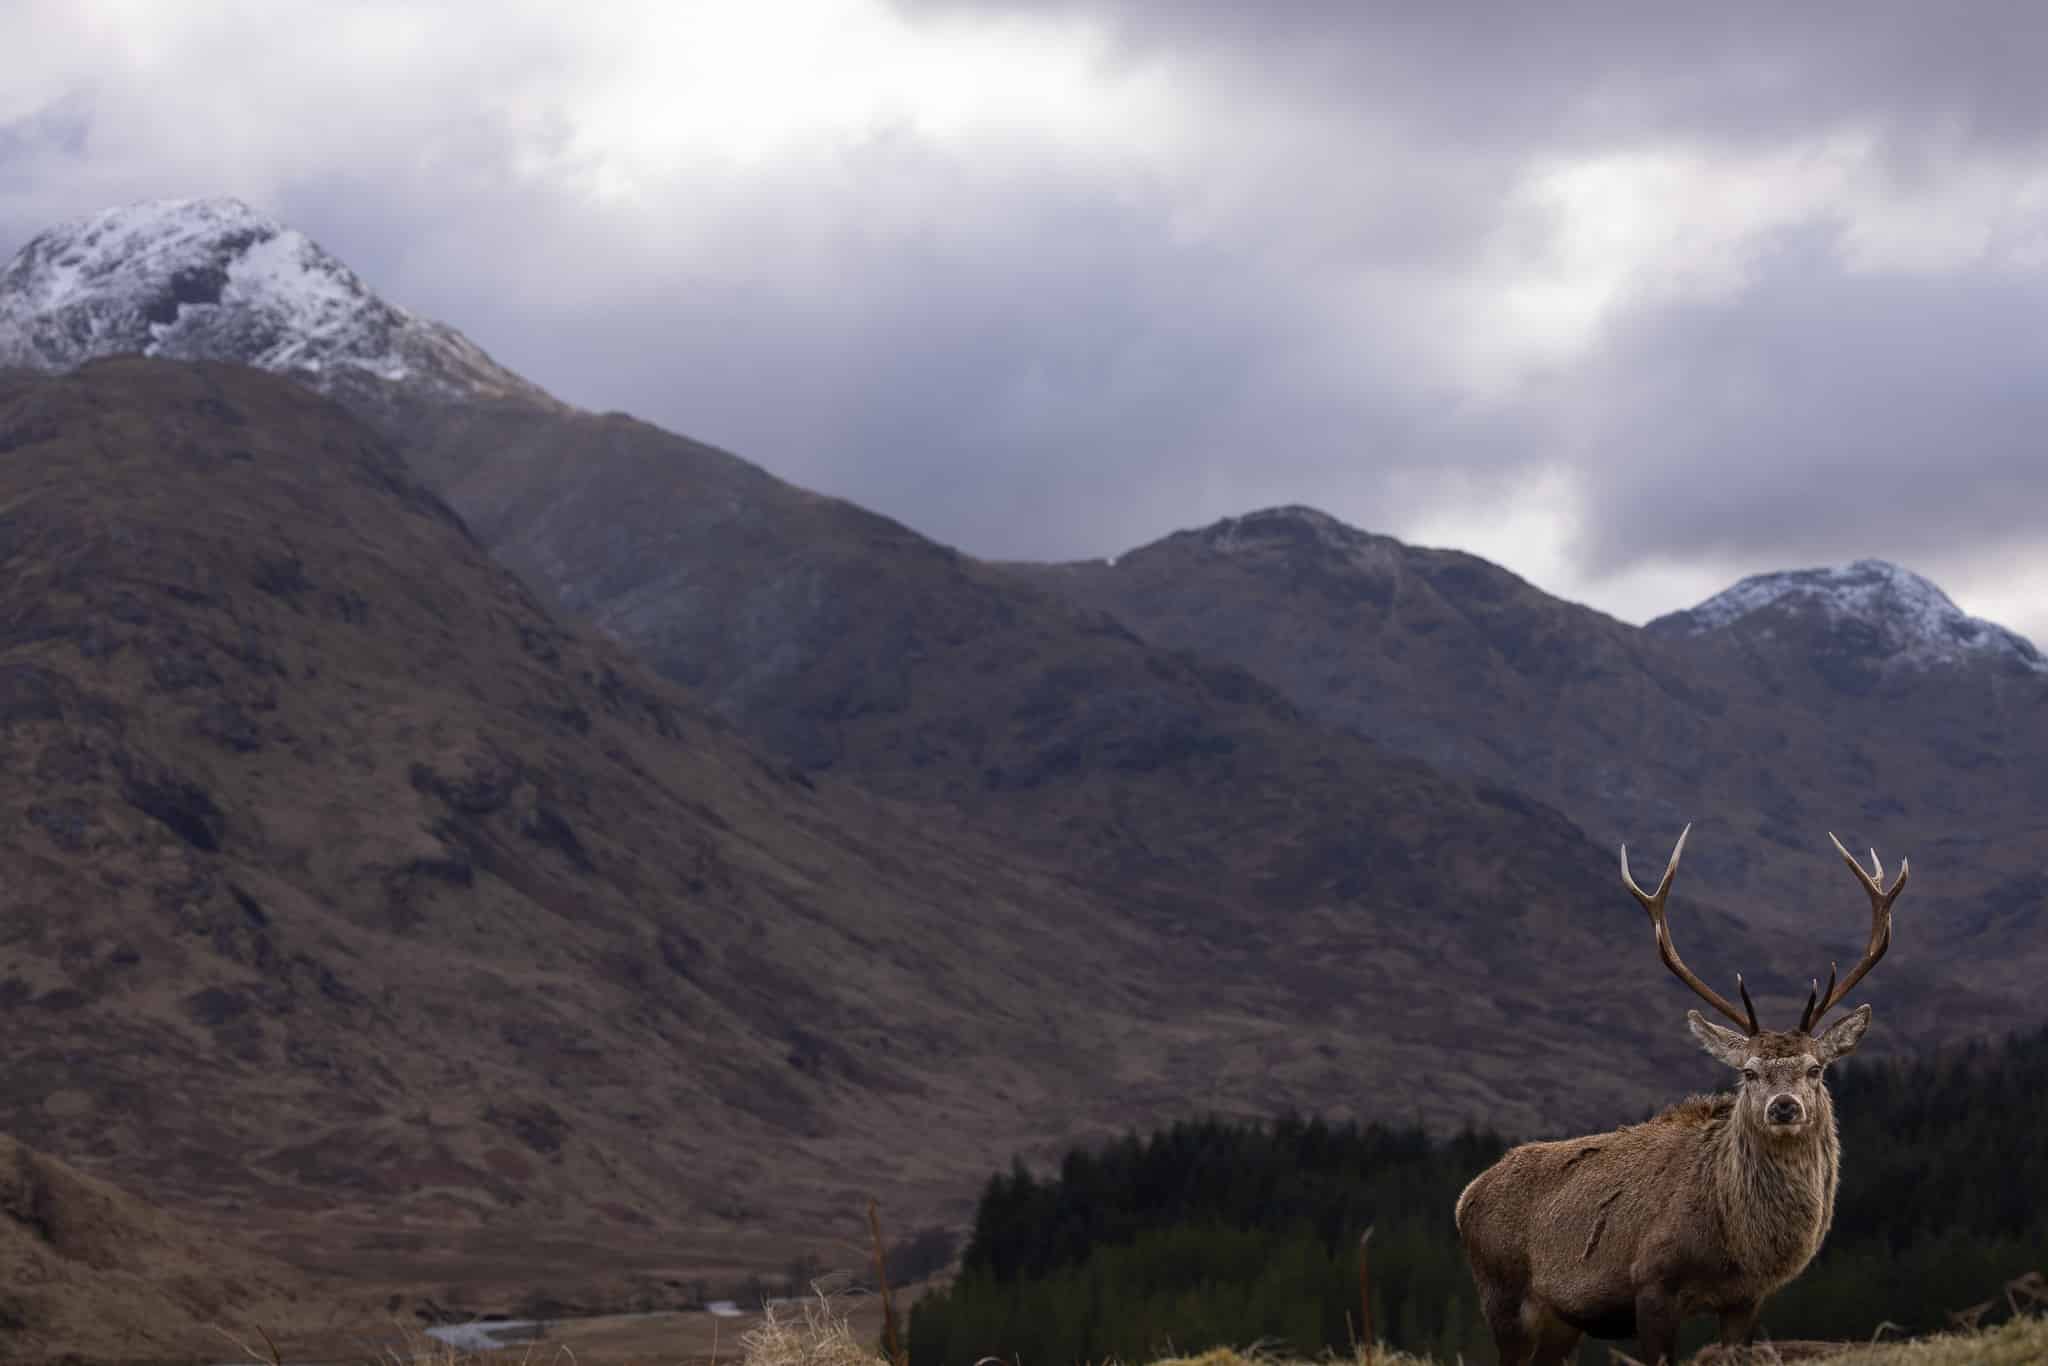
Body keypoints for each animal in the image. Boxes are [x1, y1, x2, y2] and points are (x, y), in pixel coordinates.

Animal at [1454, 826, 1907, 1366]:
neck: (1737, 1246)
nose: (1784, 1106)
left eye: (1815, 1069)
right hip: (1502, 1296)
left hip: (1562, 1321)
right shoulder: (1650, 1284)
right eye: (1748, 1073)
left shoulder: (1745, 1301)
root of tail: (1465, 1198)